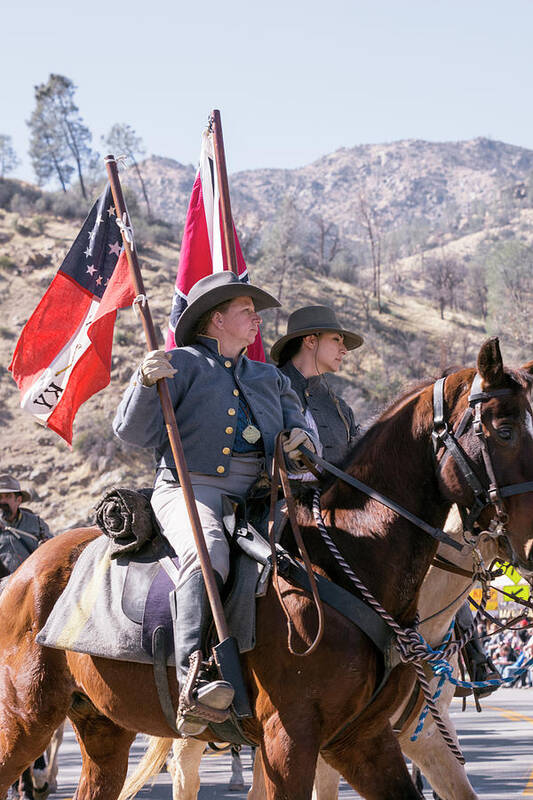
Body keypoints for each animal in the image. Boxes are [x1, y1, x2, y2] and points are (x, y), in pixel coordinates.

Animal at [1, 340, 532, 800]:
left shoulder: (365, 739)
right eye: (504, 431)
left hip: (103, 726)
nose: (529, 545)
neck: (343, 561)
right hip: (26, 719)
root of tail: (25, 573)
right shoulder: (290, 737)